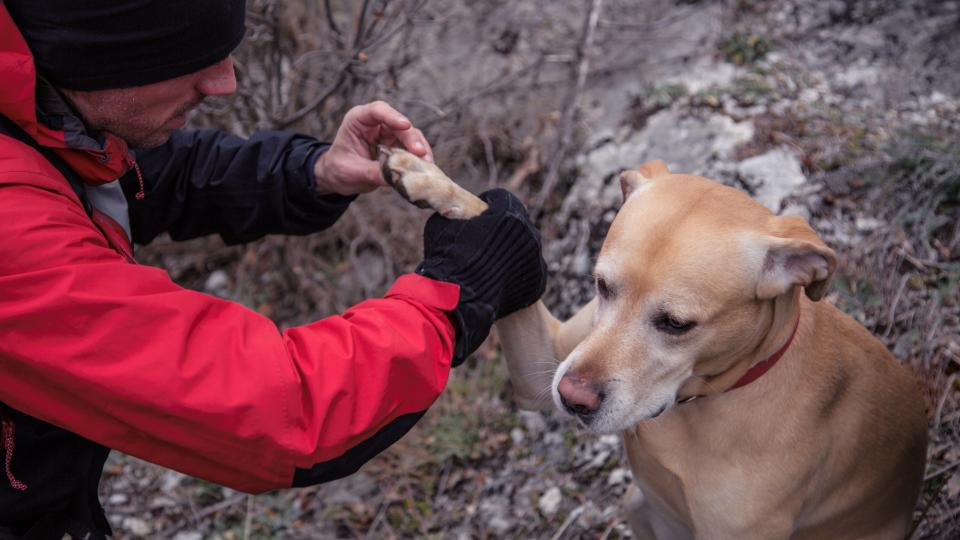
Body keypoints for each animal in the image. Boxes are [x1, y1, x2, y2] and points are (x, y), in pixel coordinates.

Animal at [378, 150, 928, 540]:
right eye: (601, 286)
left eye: (677, 324)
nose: (572, 399)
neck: (707, 401)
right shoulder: (547, 361)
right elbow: (499, 245)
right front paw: (430, 180)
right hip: (635, 504)